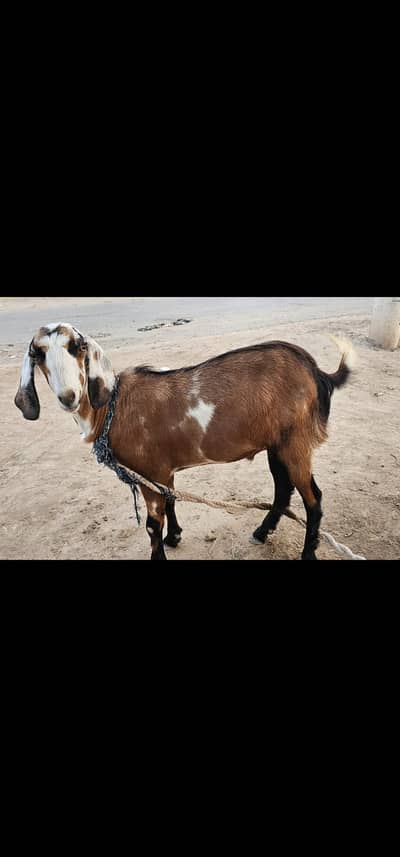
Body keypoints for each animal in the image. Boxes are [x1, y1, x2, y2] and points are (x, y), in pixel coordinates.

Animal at [14, 323, 355, 560]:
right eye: (38, 354)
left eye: (77, 347)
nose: (68, 396)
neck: (112, 405)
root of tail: (316, 371)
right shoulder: (161, 470)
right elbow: (171, 500)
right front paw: (175, 537)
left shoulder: (148, 473)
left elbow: (152, 524)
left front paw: (162, 548)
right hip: (278, 444)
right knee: (283, 490)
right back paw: (261, 532)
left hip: (296, 444)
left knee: (313, 499)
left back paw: (307, 552)